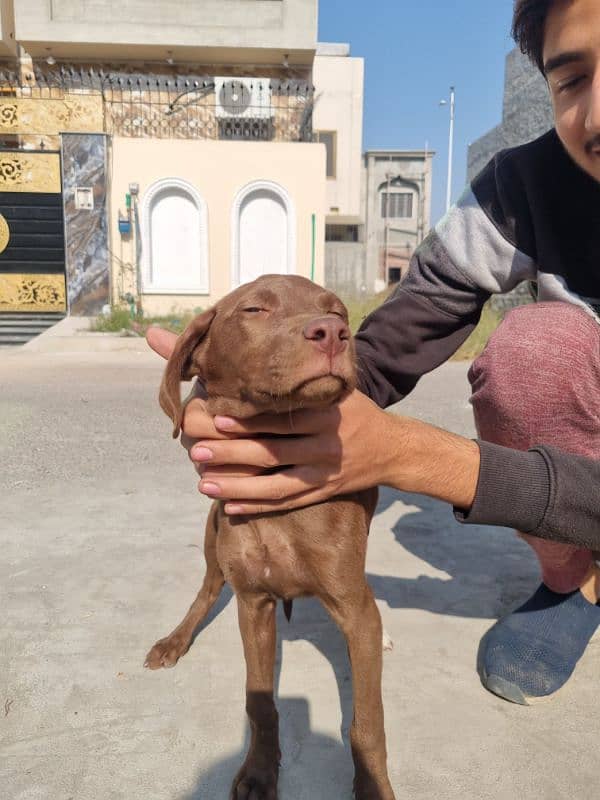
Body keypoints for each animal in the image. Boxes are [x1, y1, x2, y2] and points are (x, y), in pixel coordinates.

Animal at [148, 276, 396, 800]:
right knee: (207, 590)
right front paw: (260, 772)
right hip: (213, 531)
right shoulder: (253, 604)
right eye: (255, 310)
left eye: (337, 311)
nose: (333, 333)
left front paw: (372, 784)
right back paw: (175, 639)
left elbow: (367, 722)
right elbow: (260, 703)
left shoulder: (354, 610)